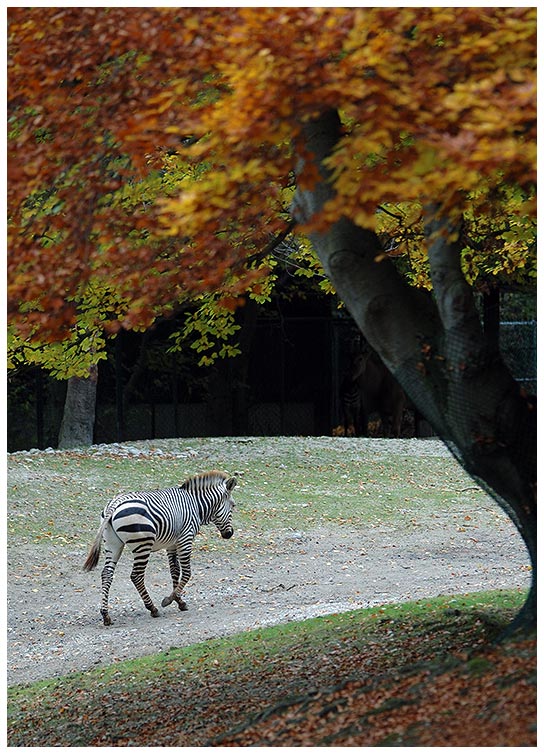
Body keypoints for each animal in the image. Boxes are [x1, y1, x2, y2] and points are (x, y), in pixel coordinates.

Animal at [83, 470, 236, 624]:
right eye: (233, 505)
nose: (230, 534)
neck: (196, 505)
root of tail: (114, 505)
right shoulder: (185, 539)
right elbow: (187, 573)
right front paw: (169, 600)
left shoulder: (172, 544)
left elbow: (175, 571)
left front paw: (179, 601)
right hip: (143, 545)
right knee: (136, 576)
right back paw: (152, 608)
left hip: (112, 544)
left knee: (107, 574)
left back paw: (105, 615)